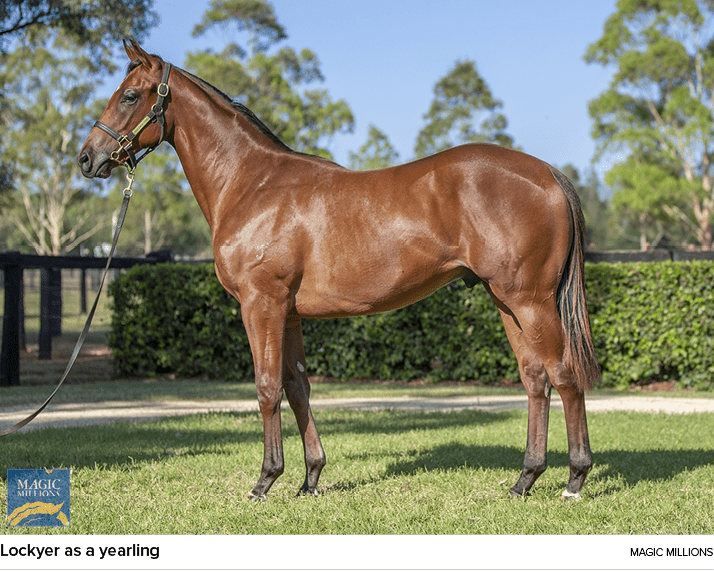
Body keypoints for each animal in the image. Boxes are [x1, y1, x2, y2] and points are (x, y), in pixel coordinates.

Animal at [78, 41, 596, 500]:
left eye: (130, 95)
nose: (88, 158)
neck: (252, 184)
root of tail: (548, 174)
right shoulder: (287, 313)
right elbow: (297, 387)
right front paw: (309, 479)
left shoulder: (261, 304)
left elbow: (266, 387)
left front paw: (265, 481)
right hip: (505, 301)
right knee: (535, 379)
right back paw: (524, 480)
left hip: (530, 302)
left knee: (564, 375)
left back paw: (574, 479)